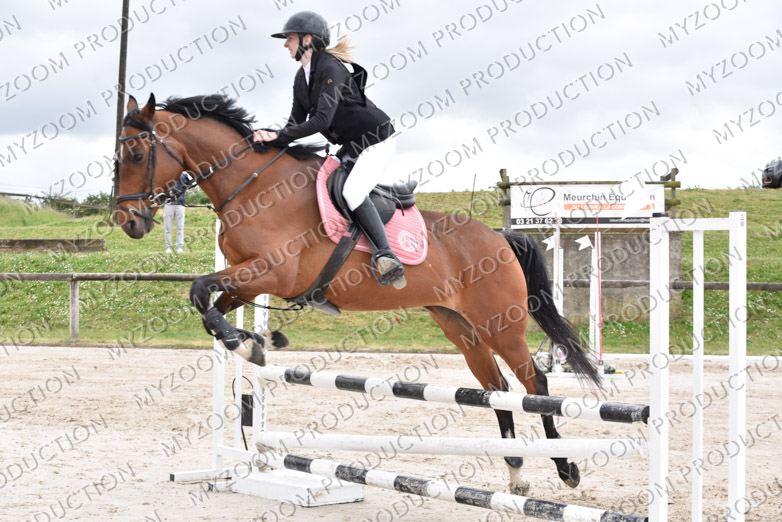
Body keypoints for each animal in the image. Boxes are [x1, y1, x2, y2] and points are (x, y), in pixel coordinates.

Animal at [115, 92, 601, 495]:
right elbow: (209, 305)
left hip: (500, 323)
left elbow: (200, 291)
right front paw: (257, 342)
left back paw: (565, 469)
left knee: (534, 383)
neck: (252, 185)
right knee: (496, 389)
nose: (129, 222)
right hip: (461, 327)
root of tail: (499, 237)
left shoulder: (271, 272)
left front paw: (251, 344)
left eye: (137, 154)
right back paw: (516, 473)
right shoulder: (245, 278)